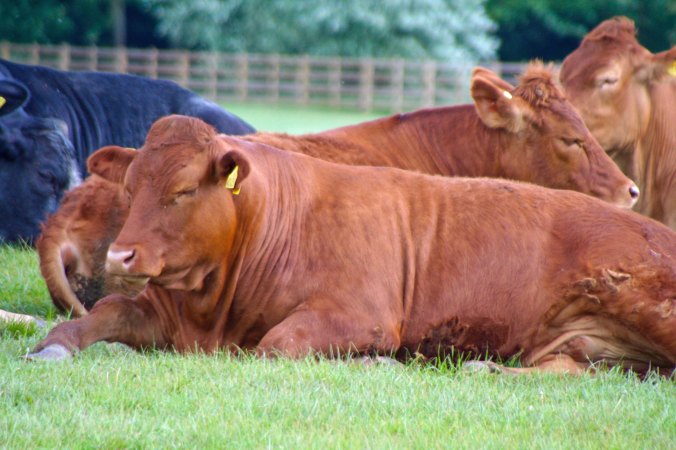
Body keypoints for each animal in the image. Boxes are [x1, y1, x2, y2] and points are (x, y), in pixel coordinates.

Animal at [26, 115, 676, 377]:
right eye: (130, 187)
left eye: (184, 190)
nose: (121, 256)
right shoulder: (164, 312)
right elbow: (105, 312)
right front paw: (53, 345)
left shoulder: (358, 314)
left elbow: (277, 346)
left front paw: (373, 362)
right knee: (580, 372)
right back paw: (487, 367)